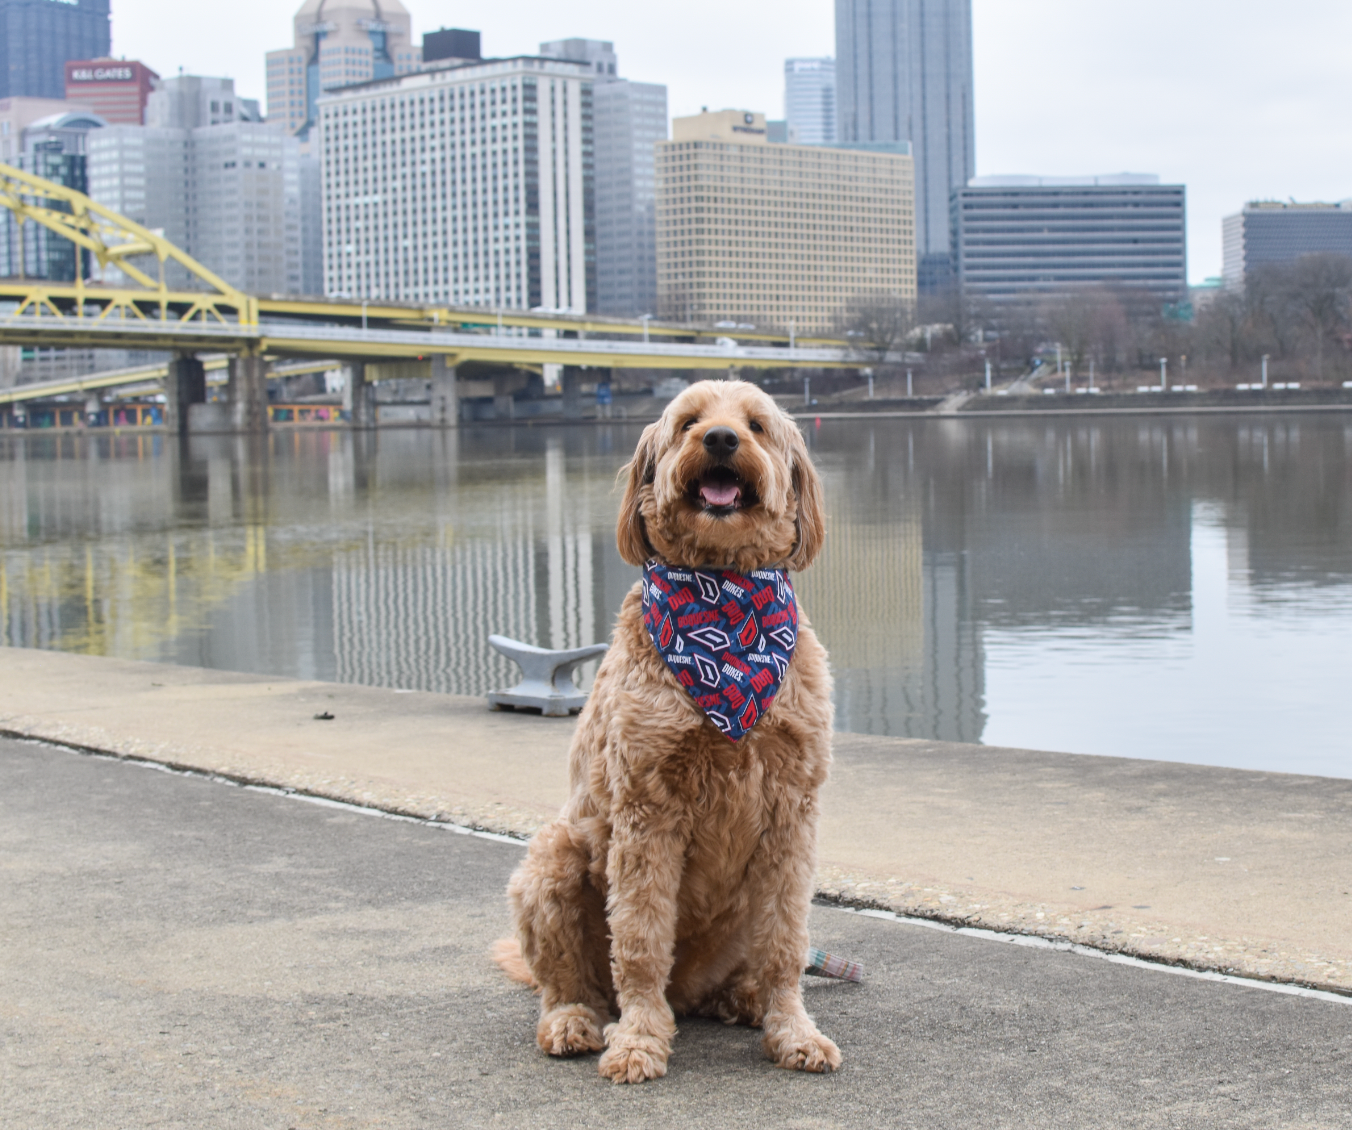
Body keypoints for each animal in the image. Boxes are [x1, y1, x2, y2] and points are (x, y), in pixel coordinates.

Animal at [492, 378, 838, 1086]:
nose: (721, 438)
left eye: (756, 426)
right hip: (552, 859)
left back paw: (743, 1000)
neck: (722, 604)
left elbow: (787, 941)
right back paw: (576, 1021)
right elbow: (641, 940)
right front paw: (639, 1042)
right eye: (688, 422)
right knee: (572, 983)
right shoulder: (646, 810)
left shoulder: (792, 814)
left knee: (742, 968)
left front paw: (792, 1030)